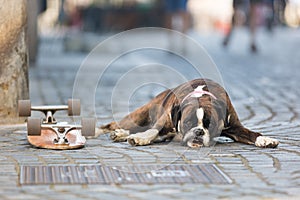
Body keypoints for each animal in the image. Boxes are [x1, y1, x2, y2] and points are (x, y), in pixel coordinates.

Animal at [100, 79, 278, 148]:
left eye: (209, 125)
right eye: (187, 123)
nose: (198, 132)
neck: (202, 95)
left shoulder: (235, 127)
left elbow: (251, 133)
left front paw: (265, 139)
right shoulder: (164, 121)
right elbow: (152, 131)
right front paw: (140, 138)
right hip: (139, 116)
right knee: (113, 125)